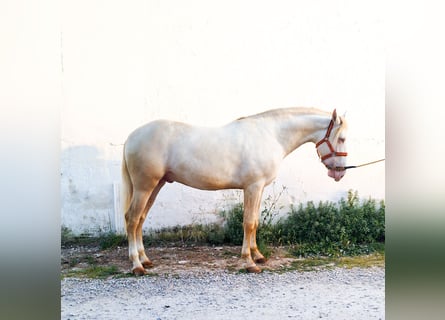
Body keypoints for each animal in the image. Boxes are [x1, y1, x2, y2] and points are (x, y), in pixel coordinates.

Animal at [121, 107, 346, 276]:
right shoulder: (253, 187)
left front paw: (258, 256)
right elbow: (248, 223)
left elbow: (255, 222)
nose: (340, 172)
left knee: (140, 219)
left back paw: (145, 260)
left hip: (155, 186)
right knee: (132, 219)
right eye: (342, 138)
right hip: (144, 187)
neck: (270, 135)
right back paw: (137, 265)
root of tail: (131, 137)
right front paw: (249, 262)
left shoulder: (258, 188)